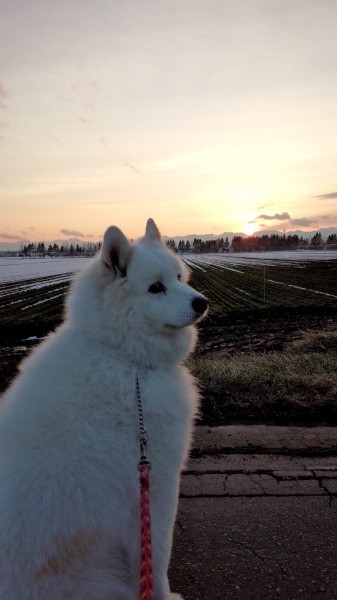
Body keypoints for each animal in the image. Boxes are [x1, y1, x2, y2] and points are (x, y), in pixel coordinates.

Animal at [0, 220, 207, 600]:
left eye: (179, 278)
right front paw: (164, 595)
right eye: (156, 288)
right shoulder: (157, 485)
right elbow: (158, 560)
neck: (124, 357)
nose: (202, 302)